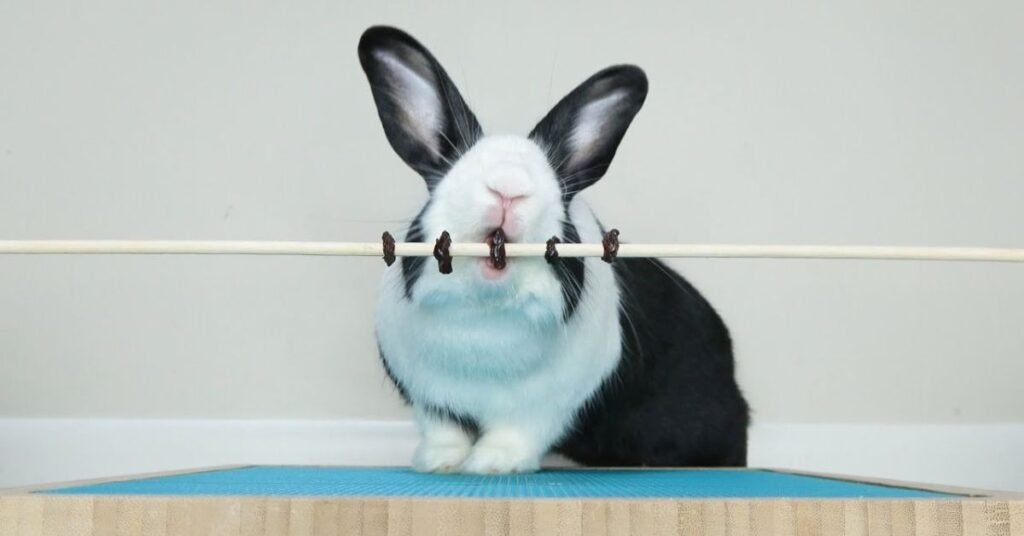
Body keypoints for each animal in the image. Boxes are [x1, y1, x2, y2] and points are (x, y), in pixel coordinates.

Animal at [358, 25, 749, 474]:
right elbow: (445, 432)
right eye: (447, 177)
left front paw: (492, 464)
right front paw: (440, 463)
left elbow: (517, 434)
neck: (485, 315)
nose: (509, 186)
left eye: (559, 193)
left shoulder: (545, 408)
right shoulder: (430, 401)